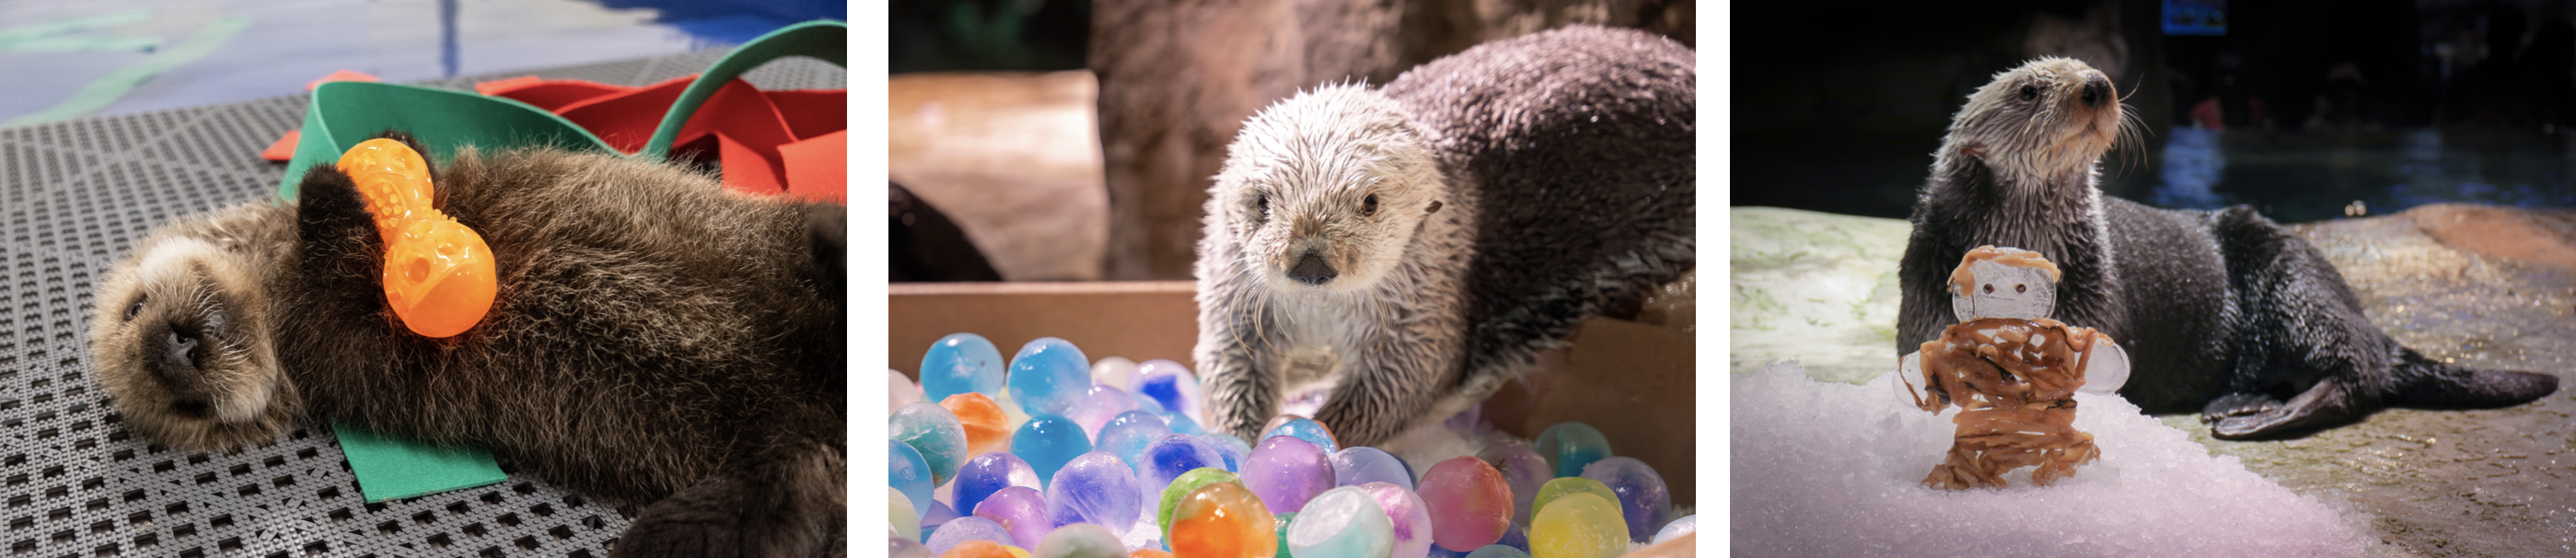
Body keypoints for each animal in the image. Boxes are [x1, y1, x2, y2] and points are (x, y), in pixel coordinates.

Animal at [88, 132, 845, 557]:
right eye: (189, 412)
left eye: (133, 308)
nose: (170, 354)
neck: (278, 283)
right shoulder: (343, 346)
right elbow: (346, 295)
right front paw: (327, 192)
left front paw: (376, 157)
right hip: (768, 455)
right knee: (787, 500)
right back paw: (659, 539)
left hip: (777, 251)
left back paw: (836, 241)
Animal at [1194, 25, 1695, 447]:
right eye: (1263, 202)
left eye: (1369, 202)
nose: (1312, 265)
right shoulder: (1233, 295)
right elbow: (1229, 360)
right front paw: (1237, 441)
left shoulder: (1426, 304)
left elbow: (1404, 380)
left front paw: (1307, 438)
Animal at [1897, 57, 2558, 439]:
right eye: (2029, 90)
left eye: (2085, 66)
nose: (2097, 85)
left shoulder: (2093, 304)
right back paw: (2238, 401)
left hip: (2294, 279)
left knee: (2353, 372)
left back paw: (2257, 416)